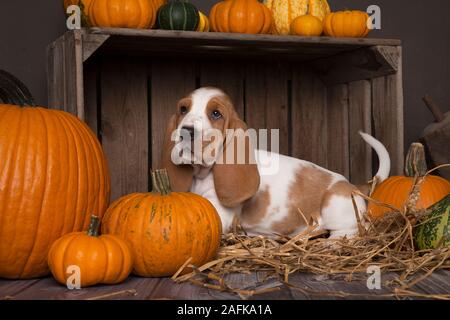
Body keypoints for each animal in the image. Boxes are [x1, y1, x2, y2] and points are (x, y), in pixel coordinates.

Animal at [162, 87, 390, 238]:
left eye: (216, 114)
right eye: (183, 109)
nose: (185, 131)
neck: (203, 174)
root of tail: (354, 186)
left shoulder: (220, 212)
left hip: (334, 204)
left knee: (352, 230)